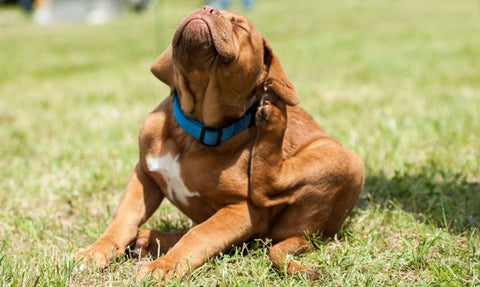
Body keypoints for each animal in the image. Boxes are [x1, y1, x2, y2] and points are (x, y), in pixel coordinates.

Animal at [74, 6, 364, 282]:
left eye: (240, 26)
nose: (207, 9)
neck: (193, 131)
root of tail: (312, 236)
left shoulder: (243, 211)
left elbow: (200, 235)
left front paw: (164, 267)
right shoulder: (144, 174)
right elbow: (123, 218)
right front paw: (95, 252)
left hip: (345, 160)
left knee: (266, 189)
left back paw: (274, 117)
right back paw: (149, 240)